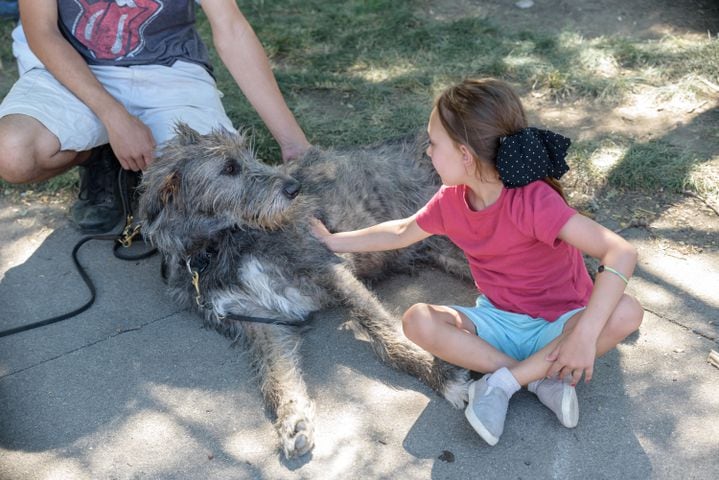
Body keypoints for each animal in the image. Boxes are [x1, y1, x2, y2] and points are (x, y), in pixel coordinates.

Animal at [139, 125, 476, 460]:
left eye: (248, 154)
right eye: (229, 168)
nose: (294, 187)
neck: (217, 246)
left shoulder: (325, 267)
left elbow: (383, 331)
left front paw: (438, 375)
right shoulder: (256, 318)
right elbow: (276, 374)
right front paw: (293, 420)